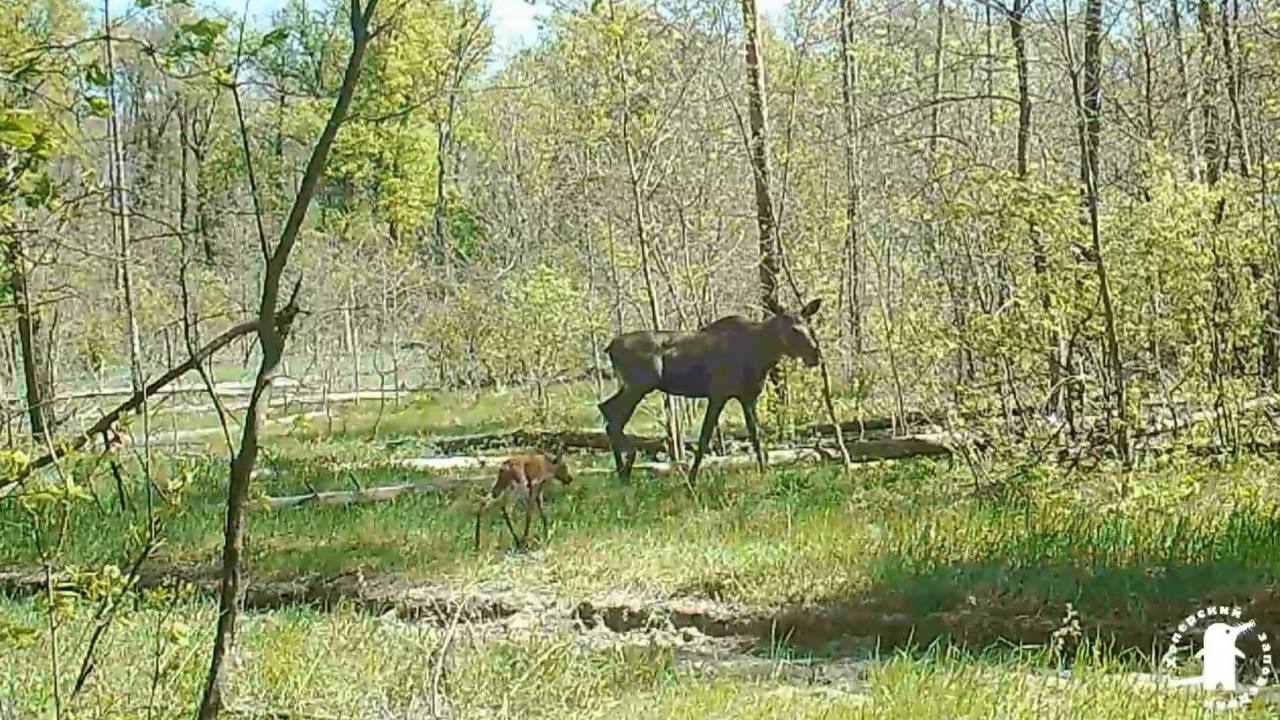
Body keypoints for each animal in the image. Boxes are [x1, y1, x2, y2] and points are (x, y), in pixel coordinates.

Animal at [596, 294, 824, 484]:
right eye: (794, 329)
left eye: (809, 325)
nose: (815, 355)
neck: (761, 354)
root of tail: (609, 348)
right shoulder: (718, 394)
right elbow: (705, 437)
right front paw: (691, 479)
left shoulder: (748, 398)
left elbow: (756, 436)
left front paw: (763, 472)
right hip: (640, 385)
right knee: (612, 418)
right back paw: (628, 463)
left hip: (633, 386)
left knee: (606, 409)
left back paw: (622, 473)